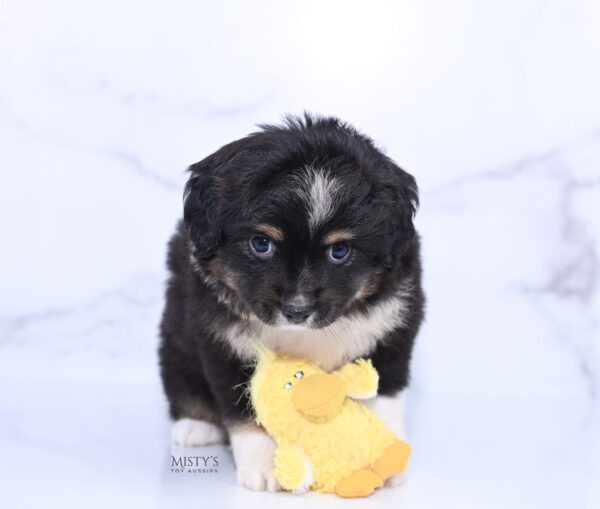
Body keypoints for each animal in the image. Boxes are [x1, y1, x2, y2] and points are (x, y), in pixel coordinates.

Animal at [157, 113, 424, 490]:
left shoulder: (391, 328)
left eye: (340, 251)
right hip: (176, 338)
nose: (297, 310)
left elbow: (383, 395)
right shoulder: (223, 340)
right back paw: (196, 425)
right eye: (261, 244)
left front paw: (382, 456)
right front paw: (268, 467)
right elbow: (247, 410)